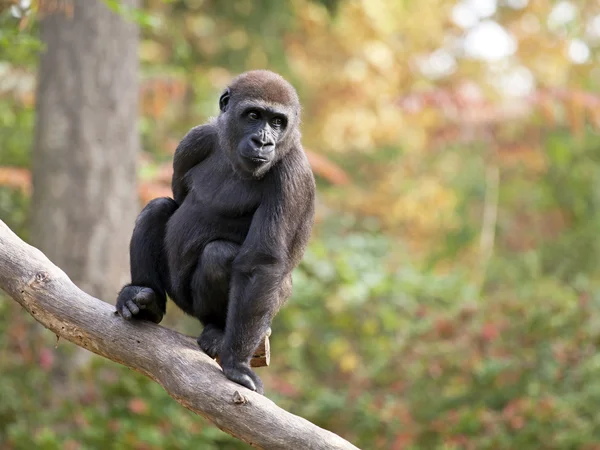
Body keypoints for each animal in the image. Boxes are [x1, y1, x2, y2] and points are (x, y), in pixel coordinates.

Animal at [114, 69, 316, 394]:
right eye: (253, 115)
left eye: (277, 122)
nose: (263, 142)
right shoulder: (196, 139)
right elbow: (176, 198)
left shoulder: (291, 176)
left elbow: (261, 263)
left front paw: (236, 363)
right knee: (158, 208)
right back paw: (146, 302)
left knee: (219, 254)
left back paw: (218, 330)